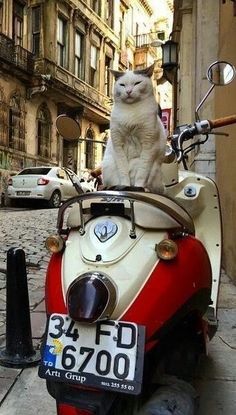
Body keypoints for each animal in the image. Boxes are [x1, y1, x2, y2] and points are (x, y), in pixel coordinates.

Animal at [102, 64, 167, 194]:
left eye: (137, 83)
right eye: (122, 85)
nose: (128, 91)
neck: (131, 111)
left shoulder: (148, 145)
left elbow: (142, 173)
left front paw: (139, 188)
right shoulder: (118, 144)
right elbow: (123, 171)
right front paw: (123, 186)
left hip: (154, 171)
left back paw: (143, 189)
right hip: (108, 164)